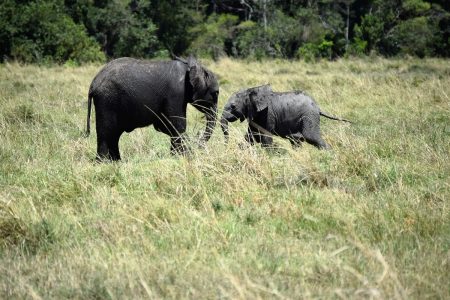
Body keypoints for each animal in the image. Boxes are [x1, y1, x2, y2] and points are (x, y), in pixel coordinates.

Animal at [86, 55, 220, 159]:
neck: (190, 67)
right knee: (106, 132)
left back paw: (116, 161)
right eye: (216, 93)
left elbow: (165, 125)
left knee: (114, 135)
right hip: (107, 101)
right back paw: (103, 162)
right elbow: (177, 124)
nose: (198, 141)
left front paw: (176, 155)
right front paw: (186, 156)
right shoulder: (175, 93)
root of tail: (93, 84)